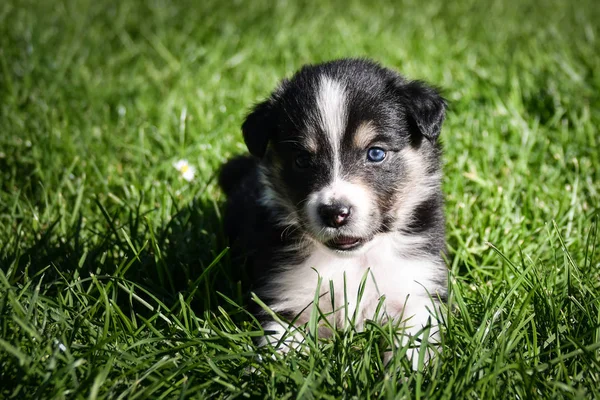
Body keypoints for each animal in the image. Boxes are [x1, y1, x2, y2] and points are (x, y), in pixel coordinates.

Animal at [219, 57, 446, 368]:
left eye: (376, 153)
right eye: (302, 160)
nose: (335, 213)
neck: (350, 261)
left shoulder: (417, 285)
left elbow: (414, 337)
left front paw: (404, 371)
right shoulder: (289, 298)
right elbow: (281, 349)